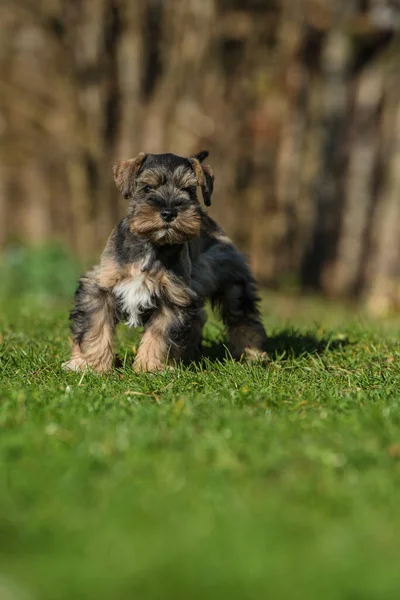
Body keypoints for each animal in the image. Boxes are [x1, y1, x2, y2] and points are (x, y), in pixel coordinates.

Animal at [62, 151, 268, 370]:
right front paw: (89, 365)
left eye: (188, 189)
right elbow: (95, 328)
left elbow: (159, 336)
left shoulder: (173, 298)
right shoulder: (100, 287)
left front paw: (149, 368)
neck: (152, 245)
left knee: (244, 318)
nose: (169, 213)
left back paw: (253, 355)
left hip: (231, 283)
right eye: (147, 187)